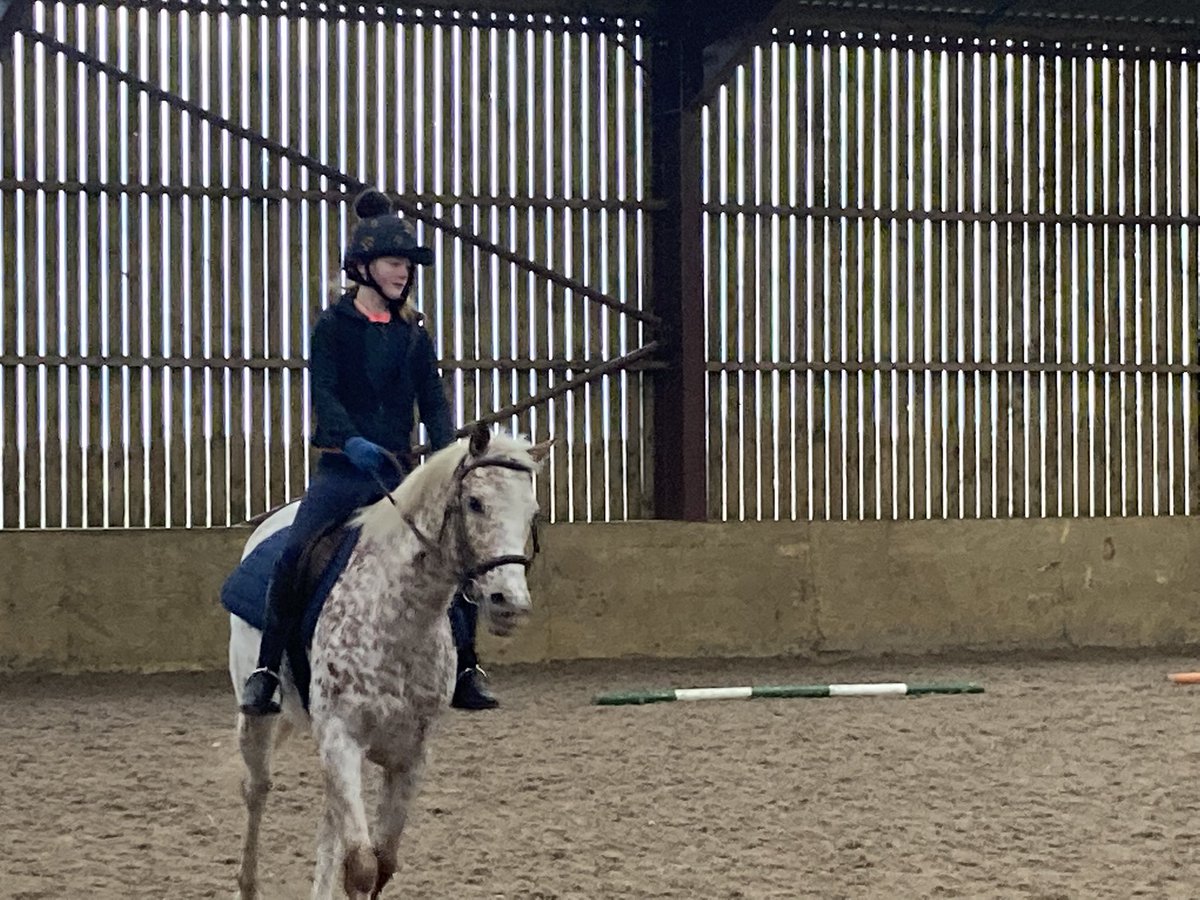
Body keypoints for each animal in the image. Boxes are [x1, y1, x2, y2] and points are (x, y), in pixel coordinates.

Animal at [227, 424, 549, 899]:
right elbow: (361, 866)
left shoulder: (409, 756)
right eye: (475, 502)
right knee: (257, 788)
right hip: (260, 717)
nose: (509, 603)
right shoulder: (341, 737)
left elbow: (381, 863)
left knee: (329, 817)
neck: (400, 615)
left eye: (532, 511)